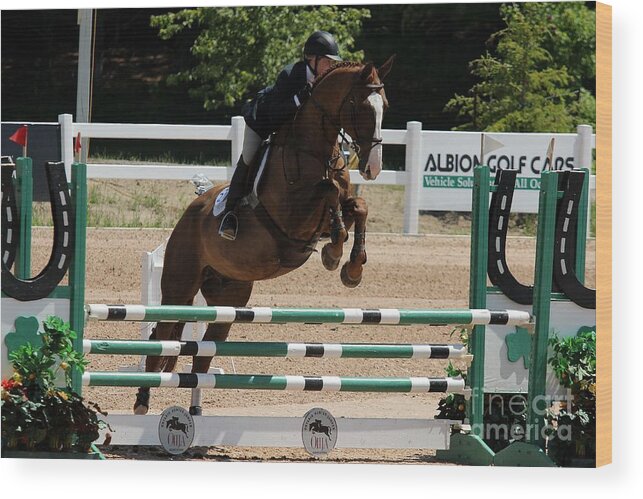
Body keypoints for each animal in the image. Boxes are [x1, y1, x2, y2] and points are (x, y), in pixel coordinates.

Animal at [135, 57, 392, 414]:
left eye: (385, 106)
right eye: (361, 106)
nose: (374, 167)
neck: (314, 150)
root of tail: (190, 211)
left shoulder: (333, 211)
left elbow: (358, 206)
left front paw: (351, 268)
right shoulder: (292, 217)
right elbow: (328, 191)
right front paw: (334, 254)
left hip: (227, 299)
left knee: (202, 357)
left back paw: (195, 413)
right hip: (179, 284)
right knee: (160, 337)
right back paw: (143, 402)